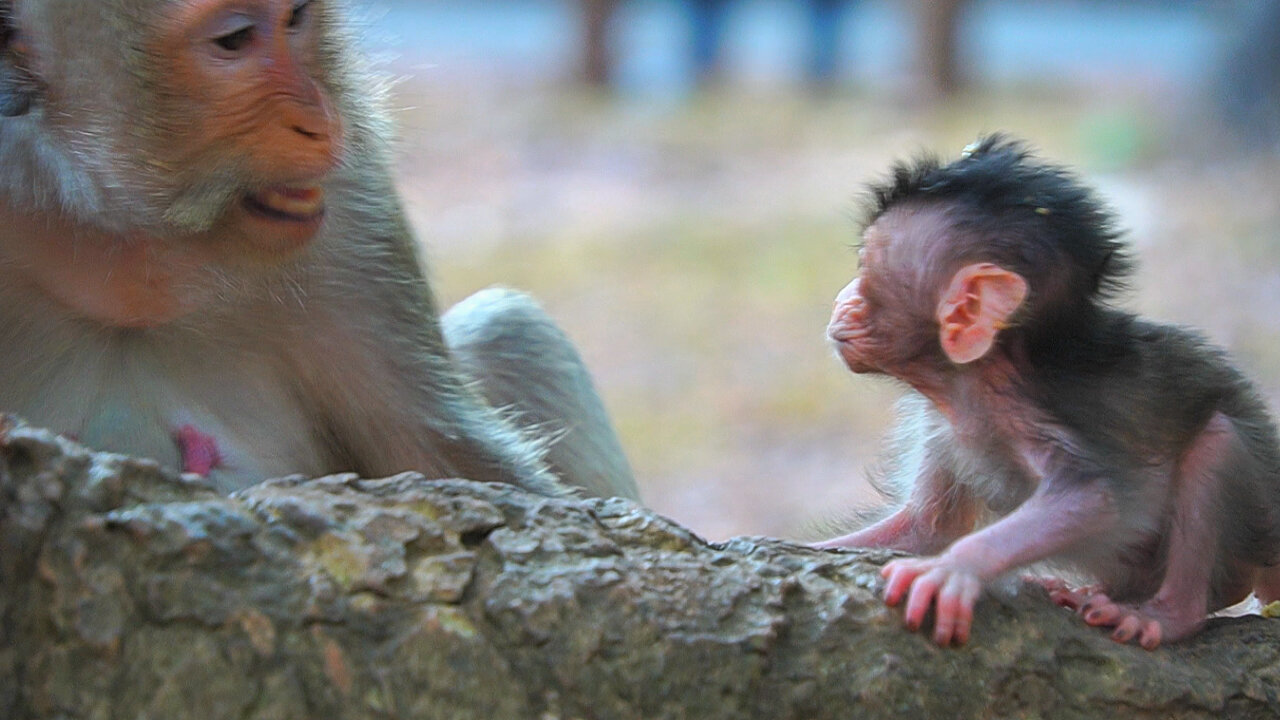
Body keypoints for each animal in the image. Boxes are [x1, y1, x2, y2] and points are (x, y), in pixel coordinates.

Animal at [0, 0, 637, 499]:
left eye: (296, 17)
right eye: (234, 38)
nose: (320, 120)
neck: (124, 247)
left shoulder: (355, 207)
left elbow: (456, 457)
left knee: (510, 328)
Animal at [814, 133, 1280, 645]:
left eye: (864, 270)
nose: (841, 298)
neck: (977, 376)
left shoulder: (1020, 412)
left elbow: (1089, 498)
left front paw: (954, 569)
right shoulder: (943, 424)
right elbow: (924, 528)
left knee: (1218, 442)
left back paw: (1168, 614)